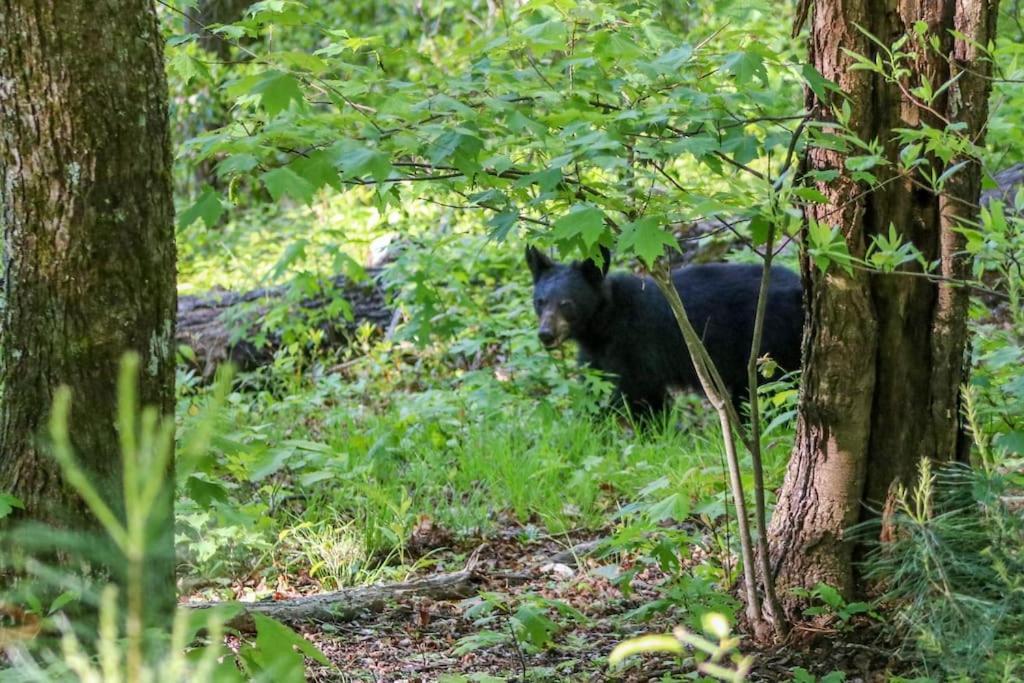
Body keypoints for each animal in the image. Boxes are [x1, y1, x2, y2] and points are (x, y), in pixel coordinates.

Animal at [528, 246, 806, 417]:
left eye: (566, 303)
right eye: (540, 301)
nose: (546, 334)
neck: (603, 321)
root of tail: (799, 291)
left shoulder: (635, 345)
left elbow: (638, 392)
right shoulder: (597, 353)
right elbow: (595, 386)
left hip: (768, 344)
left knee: (770, 388)